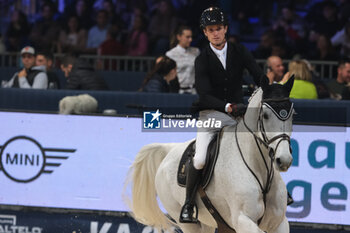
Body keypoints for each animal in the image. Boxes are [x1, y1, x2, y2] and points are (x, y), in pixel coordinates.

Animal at [126, 76, 296, 233]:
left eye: (292, 114)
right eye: (265, 115)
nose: (284, 160)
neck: (259, 167)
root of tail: (169, 150)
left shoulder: (279, 223)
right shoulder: (243, 220)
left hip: (206, 222)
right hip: (185, 221)